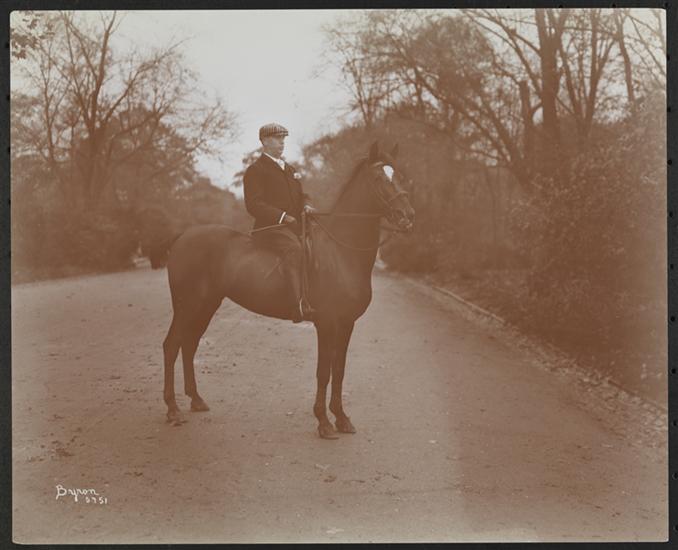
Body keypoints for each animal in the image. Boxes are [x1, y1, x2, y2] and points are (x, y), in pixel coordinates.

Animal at [162, 141, 415, 438]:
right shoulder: (327, 323)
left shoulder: (346, 324)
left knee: (188, 345)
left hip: (206, 305)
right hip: (188, 306)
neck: (341, 252)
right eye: (378, 179)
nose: (407, 217)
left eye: (399, 175)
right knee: (172, 346)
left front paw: (341, 418)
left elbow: (339, 370)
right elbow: (324, 372)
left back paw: (196, 400)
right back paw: (172, 410)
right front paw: (324, 422)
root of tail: (182, 237)